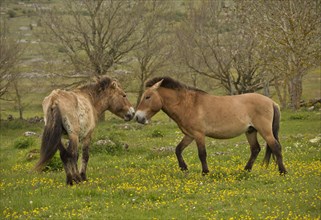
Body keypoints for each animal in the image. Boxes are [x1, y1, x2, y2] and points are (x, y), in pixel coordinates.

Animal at [135, 77, 288, 175]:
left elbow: (202, 154)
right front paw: (184, 168)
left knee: (275, 147)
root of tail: (271, 102)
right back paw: (246, 170)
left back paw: (283, 171)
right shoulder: (189, 135)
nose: (137, 117)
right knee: (255, 149)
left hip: (265, 130)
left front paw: (205, 172)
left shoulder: (199, 135)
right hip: (251, 131)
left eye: (148, 97)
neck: (189, 104)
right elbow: (178, 150)